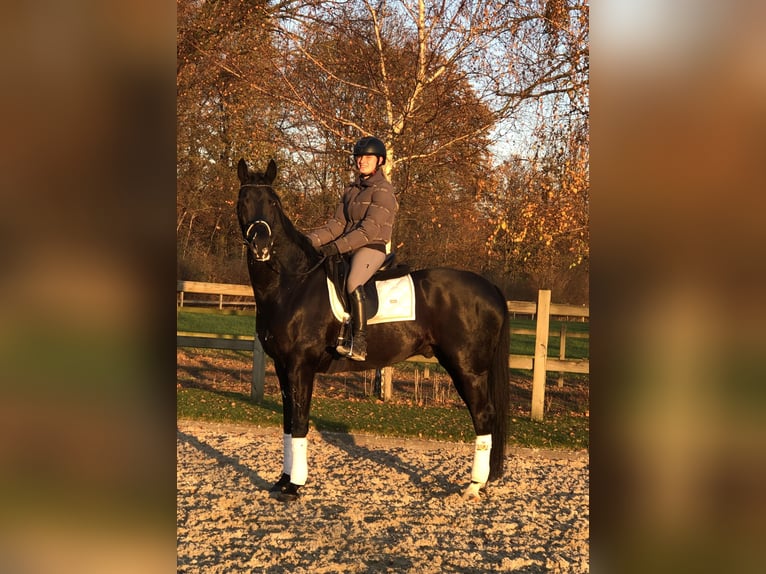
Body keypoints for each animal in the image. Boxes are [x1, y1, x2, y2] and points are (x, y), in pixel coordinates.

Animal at [236, 158, 510, 501]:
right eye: (244, 201)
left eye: (274, 203)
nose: (260, 246)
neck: (291, 283)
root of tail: (491, 288)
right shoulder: (283, 366)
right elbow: (287, 424)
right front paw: (283, 481)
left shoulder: (300, 366)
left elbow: (299, 422)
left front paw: (295, 486)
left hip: (467, 368)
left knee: (483, 416)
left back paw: (474, 486)